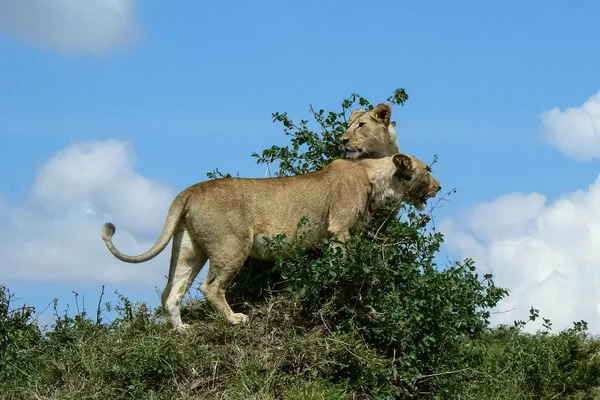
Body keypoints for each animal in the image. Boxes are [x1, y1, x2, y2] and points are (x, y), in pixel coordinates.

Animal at [101, 152, 440, 328]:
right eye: (427, 170)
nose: (439, 186)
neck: (374, 178)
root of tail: (189, 189)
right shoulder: (339, 231)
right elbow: (347, 270)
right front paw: (353, 296)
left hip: (189, 249)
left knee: (171, 293)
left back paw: (183, 331)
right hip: (233, 244)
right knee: (211, 287)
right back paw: (235, 319)